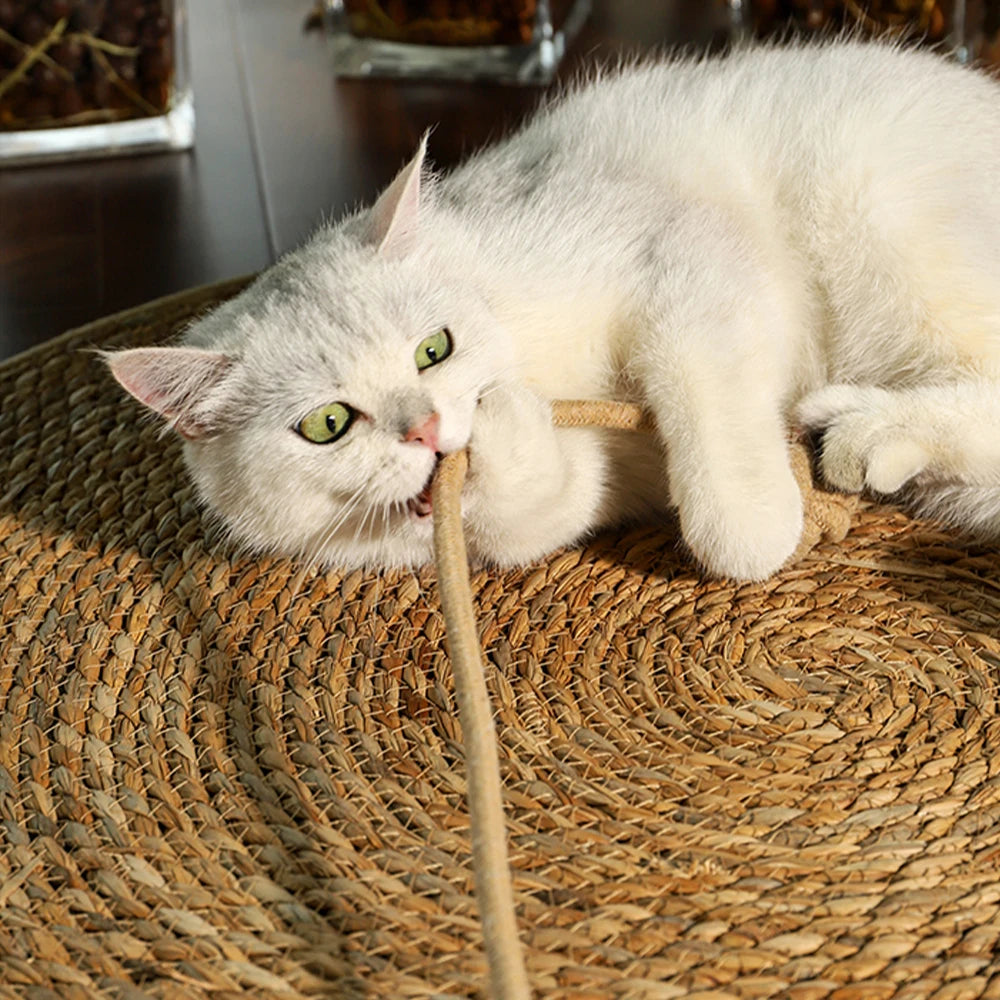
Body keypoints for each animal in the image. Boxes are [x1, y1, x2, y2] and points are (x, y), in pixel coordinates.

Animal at [105, 41, 1000, 580]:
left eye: (434, 349)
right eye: (327, 424)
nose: (427, 429)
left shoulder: (692, 257)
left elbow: (703, 406)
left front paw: (754, 524)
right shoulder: (579, 493)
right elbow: (541, 501)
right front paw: (510, 432)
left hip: (883, 220)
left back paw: (861, 433)